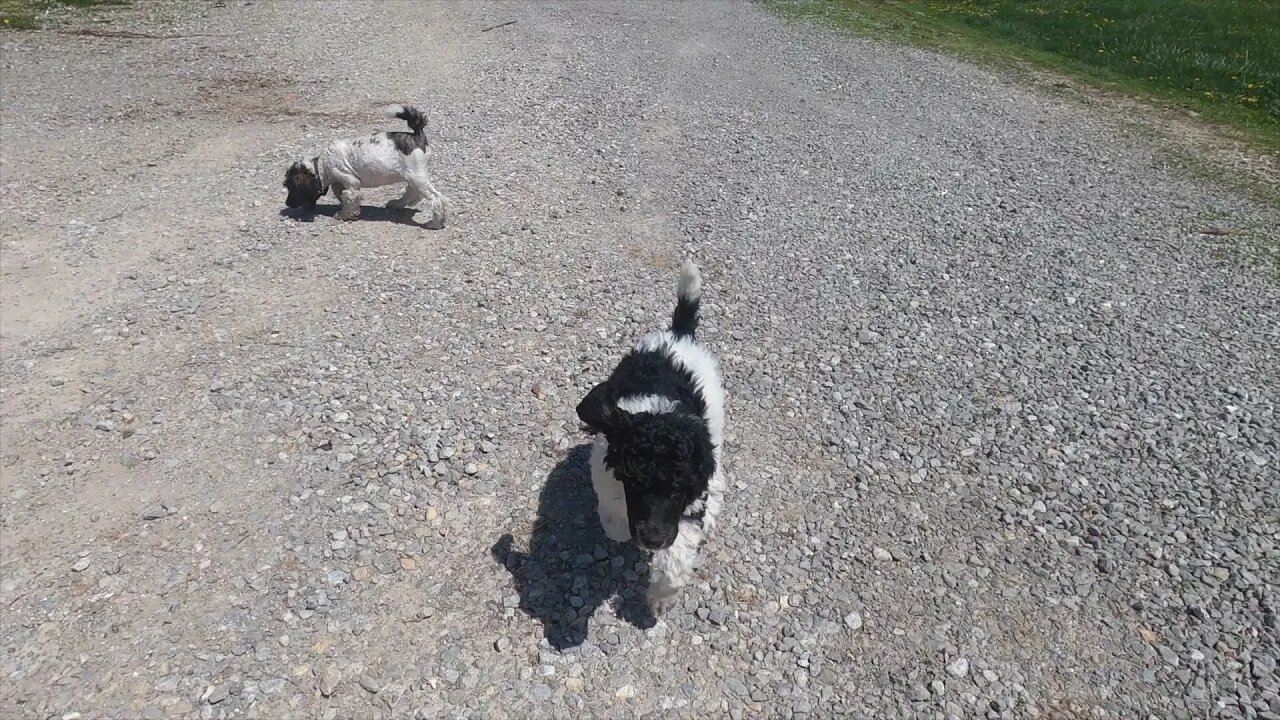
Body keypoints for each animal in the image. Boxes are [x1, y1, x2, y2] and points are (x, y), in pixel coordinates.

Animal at [284, 103, 450, 226]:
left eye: (292, 187)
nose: (287, 203)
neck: (322, 165)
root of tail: (417, 135)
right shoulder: (341, 182)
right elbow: (341, 193)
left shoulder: (350, 180)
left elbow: (348, 196)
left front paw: (344, 214)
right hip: (412, 175)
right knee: (413, 192)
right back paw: (397, 204)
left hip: (415, 174)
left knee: (436, 198)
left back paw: (435, 223)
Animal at [576, 260, 727, 607]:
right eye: (635, 485)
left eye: (677, 490)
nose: (653, 540)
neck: (660, 416)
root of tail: (678, 333)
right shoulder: (608, 469)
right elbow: (613, 513)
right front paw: (619, 530)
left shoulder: (690, 500)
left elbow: (678, 553)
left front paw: (660, 595)